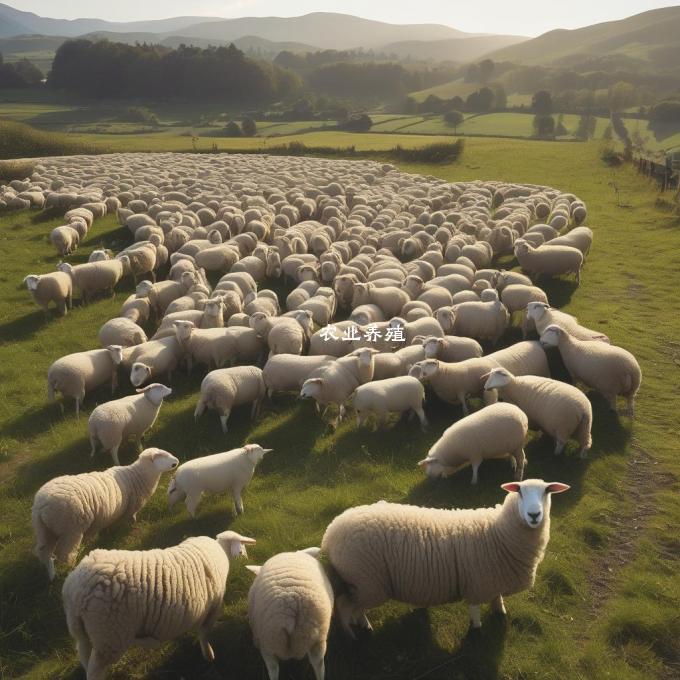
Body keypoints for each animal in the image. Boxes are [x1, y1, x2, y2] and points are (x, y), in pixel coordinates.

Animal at [33, 446, 178, 580]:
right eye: (161, 455)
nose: (176, 461)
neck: (138, 475)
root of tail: (41, 505)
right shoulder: (132, 507)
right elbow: (131, 518)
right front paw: (132, 526)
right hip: (70, 529)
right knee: (65, 555)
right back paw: (70, 569)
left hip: (44, 530)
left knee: (45, 554)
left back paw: (51, 575)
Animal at [61, 532, 255, 680]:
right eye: (242, 547)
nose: (246, 559)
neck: (221, 552)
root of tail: (75, 591)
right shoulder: (213, 607)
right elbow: (204, 633)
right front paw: (209, 656)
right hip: (109, 634)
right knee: (95, 671)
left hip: (83, 632)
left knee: (84, 657)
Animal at [322, 478, 572, 632]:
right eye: (519, 491)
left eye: (547, 491)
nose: (534, 515)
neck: (497, 532)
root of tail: (331, 530)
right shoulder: (476, 582)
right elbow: (475, 612)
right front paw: (477, 629)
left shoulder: (492, 579)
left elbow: (497, 599)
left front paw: (500, 612)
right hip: (366, 581)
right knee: (348, 606)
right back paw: (361, 628)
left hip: (363, 583)